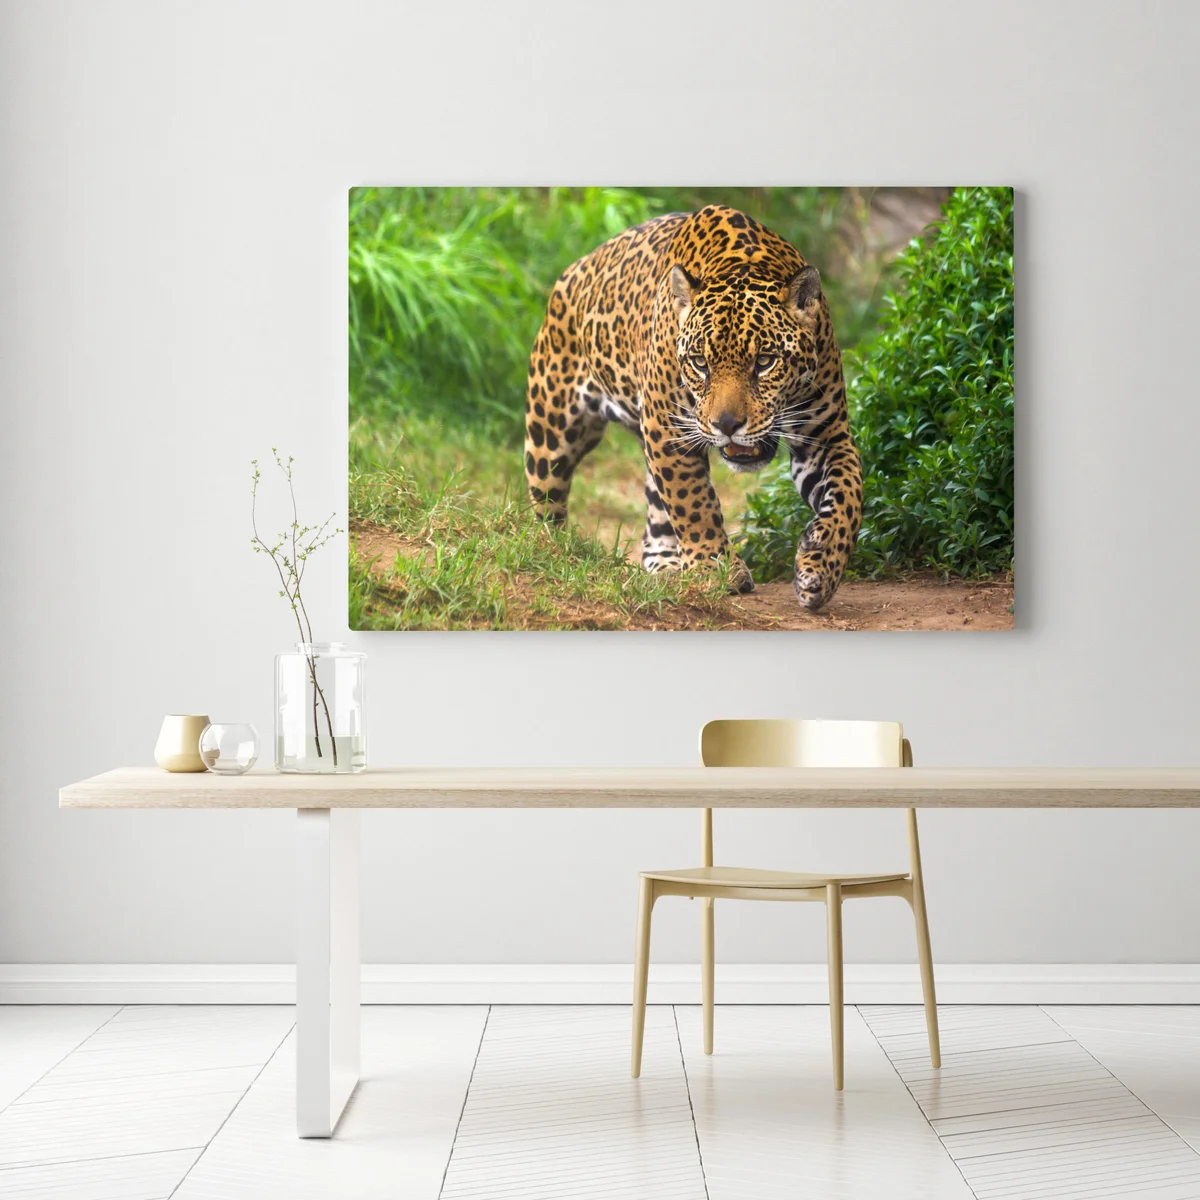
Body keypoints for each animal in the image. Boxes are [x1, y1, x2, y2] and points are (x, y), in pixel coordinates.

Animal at [523, 204, 863, 610]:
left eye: (765, 361)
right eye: (700, 363)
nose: (727, 424)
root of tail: (574, 270)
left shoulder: (826, 436)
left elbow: (848, 496)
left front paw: (820, 564)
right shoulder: (668, 428)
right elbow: (693, 500)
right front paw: (716, 568)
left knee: (657, 512)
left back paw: (667, 566)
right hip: (552, 431)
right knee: (547, 502)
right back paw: (552, 554)